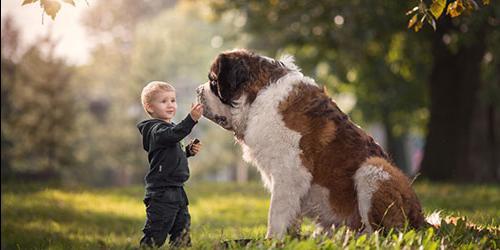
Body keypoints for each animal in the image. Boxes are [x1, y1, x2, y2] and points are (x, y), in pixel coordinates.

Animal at [197, 48, 424, 238]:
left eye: (213, 82)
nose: (198, 90)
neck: (258, 95)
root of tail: (421, 219)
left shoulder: (289, 172)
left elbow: (276, 213)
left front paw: (271, 240)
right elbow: (290, 214)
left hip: (373, 168)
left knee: (380, 234)